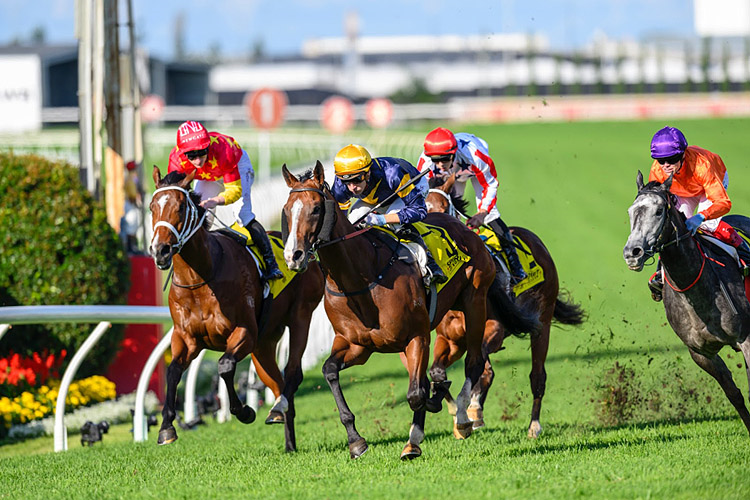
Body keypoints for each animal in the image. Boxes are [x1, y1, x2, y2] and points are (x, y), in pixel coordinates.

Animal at [148, 166, 324, 452]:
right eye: (152, 207)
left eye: (181, 207)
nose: (160, 250)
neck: (201, 277)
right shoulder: (185, 338)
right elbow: (173, 372)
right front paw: (166, 428)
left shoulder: (245, 333)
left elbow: (225, 366)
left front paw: (244, 411)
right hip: (263, 345)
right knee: (277, 384)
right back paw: (285, 433)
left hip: (300, 317)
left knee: (292, 372)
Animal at [282, 162, 540, 458]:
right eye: (287, 210)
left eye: (315, 208)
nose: (293, 256)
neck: (360, 278)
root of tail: (466, 230)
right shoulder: (357, 345)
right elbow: (329, 371)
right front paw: (356, 441)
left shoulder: (417, 336)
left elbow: (417, 394)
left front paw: (415, 438)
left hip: (475, 301)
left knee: (474, 362)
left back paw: (464, 418)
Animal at [426, 175, 584, 438]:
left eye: (443, 207)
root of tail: (535, 240)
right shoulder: (451, 340)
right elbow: (437, 371)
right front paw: (454, 410)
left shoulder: (494, 329)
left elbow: (481, 367)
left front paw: (470, 411)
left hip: (542, 323)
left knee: (537, 376)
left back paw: (534, 425)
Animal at [624, 169, 750, 434]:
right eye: (630, 211)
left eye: (659, 211)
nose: (632, 253)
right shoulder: (700, 353)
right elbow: (734, 394)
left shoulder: (747, 337)